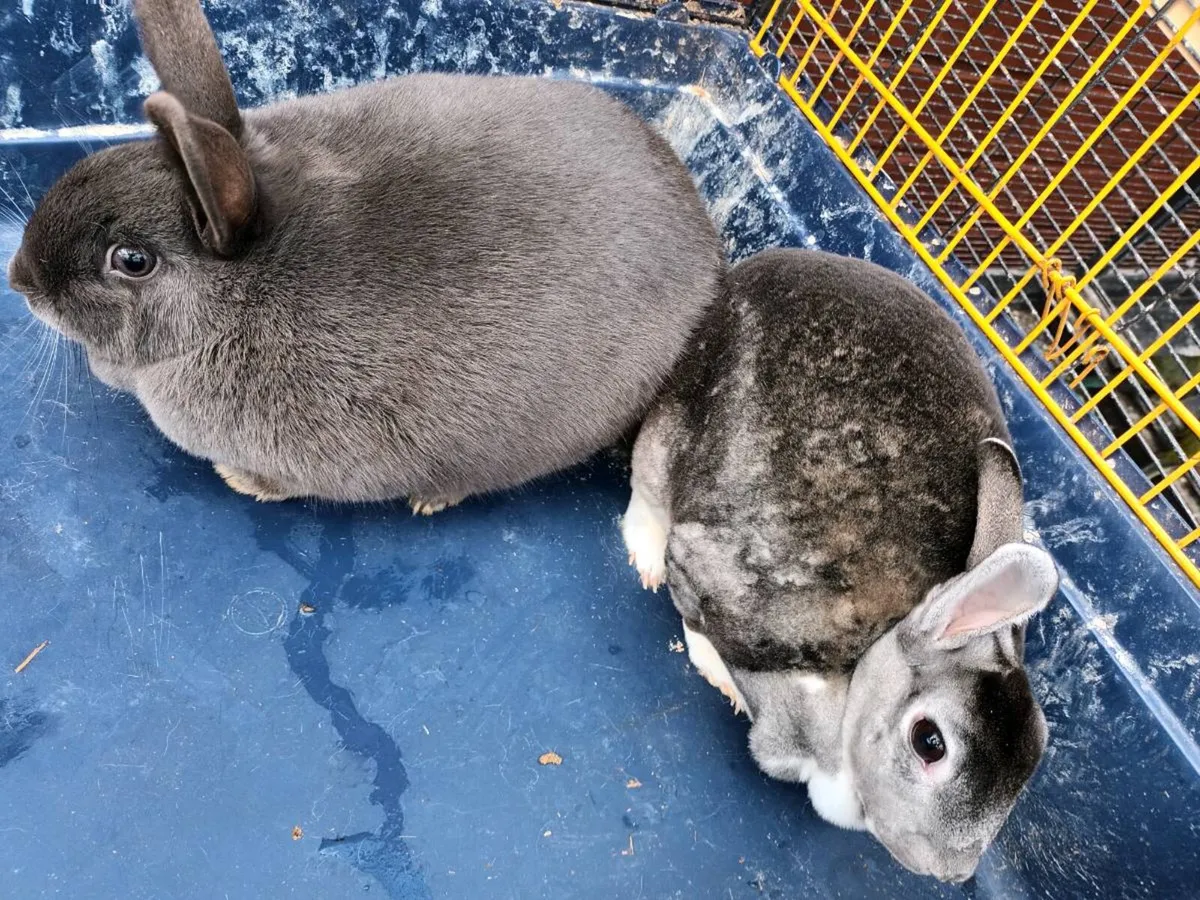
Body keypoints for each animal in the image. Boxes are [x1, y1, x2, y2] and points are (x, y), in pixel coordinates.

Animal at [621, 248, 1058, 883]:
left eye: (1039, 748)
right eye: (930, 742)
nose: (953, 872)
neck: (853, 689)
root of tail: (745, 272)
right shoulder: (720, 589)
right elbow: (701, 623)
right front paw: (720, 677)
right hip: (665, 438)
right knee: (647, 491)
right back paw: (646, 558)